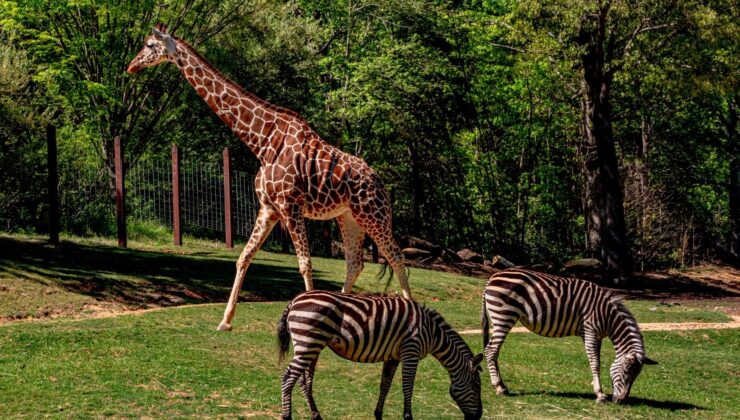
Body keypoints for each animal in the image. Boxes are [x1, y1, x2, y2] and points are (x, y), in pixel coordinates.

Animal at [129, 24, 414, 332]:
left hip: (373, 214)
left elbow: (304, 263)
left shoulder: (290, 206)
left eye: (149, 45)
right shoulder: (269, 208)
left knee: (396, 257)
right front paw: (225, 321)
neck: (262, 141)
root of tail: (381, 183)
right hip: (348, 217)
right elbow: (244, 257)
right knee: (355, 263)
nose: (132, 66)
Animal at [278, 290, 486, 418]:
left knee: (305, 381)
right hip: (308, 343)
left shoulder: (393, 357)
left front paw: (378, 414)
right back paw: (286, 415)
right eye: (477, 386)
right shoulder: (411, 351)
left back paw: (316, 415)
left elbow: (385, 385)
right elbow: (408, 387)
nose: (479, 416)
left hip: (313, 346)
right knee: (288, 378)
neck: (432, 332)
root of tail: (294, 301)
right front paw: (408, 416)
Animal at [482, 270, 656, 404]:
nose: (620, 401)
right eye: (627, 372)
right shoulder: (590, 331)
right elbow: (595, 362)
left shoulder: (597, 336)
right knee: (491, 350)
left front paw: (597, 388)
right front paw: (599, 394)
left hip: (501, 317)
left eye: (636, 376)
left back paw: (500, 386)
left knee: (491, 350)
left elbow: (597, 361)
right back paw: (500, 387)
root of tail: (493, 277)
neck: (608, 317)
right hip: (504, 316)